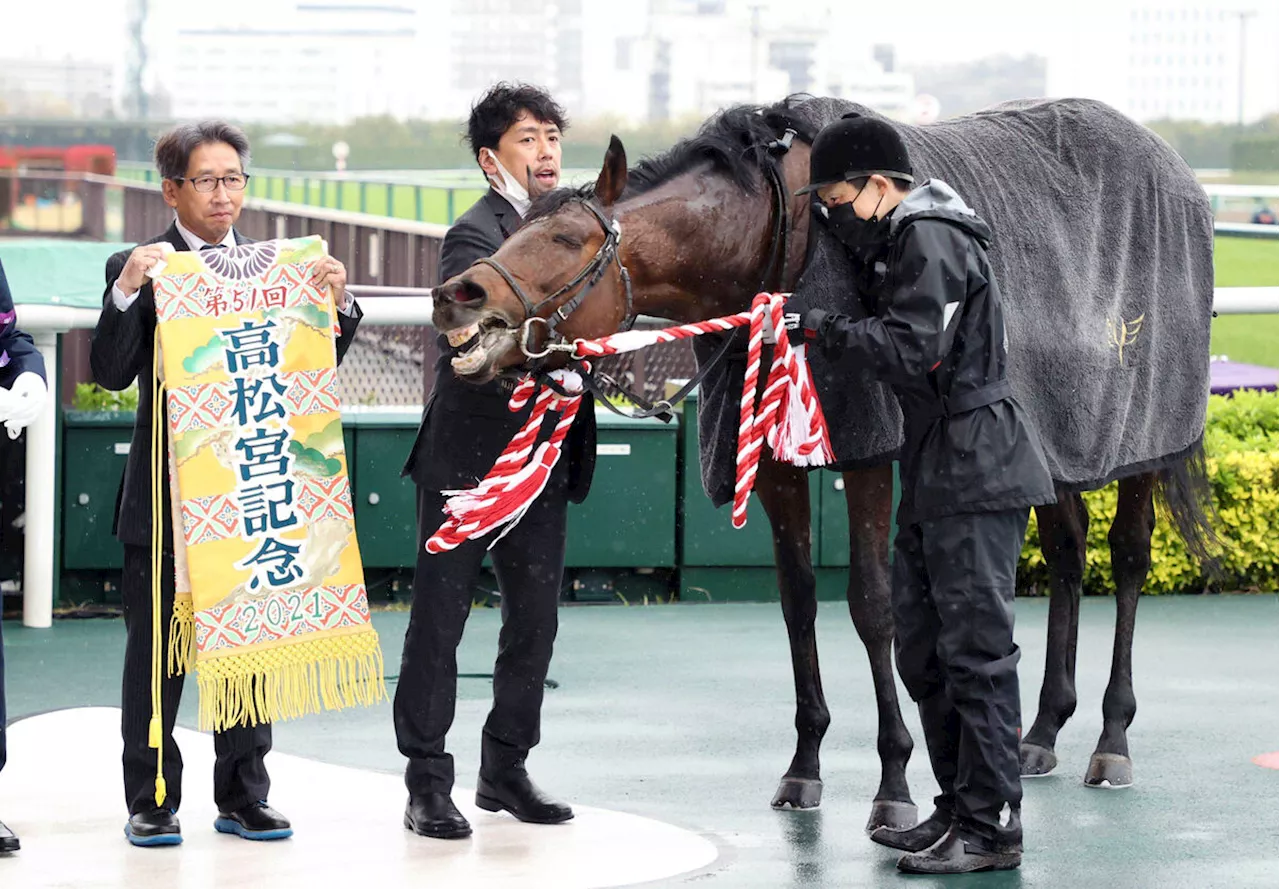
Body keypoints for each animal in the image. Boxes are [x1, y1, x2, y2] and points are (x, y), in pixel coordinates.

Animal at [424, 99, 1213, 833]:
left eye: (564, 237)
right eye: (516, 226)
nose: (456, 294)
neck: (779, 232)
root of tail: (1176, 168)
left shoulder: (865, 451)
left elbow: (871, 605)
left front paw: (893, 781)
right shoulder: (773, 461)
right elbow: (798, 601)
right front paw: (804, 767)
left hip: (1138, 433)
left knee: (1129, 555)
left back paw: (1112, 739)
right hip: (1057, 439)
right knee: (1068, 549)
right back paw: (1043, 730)